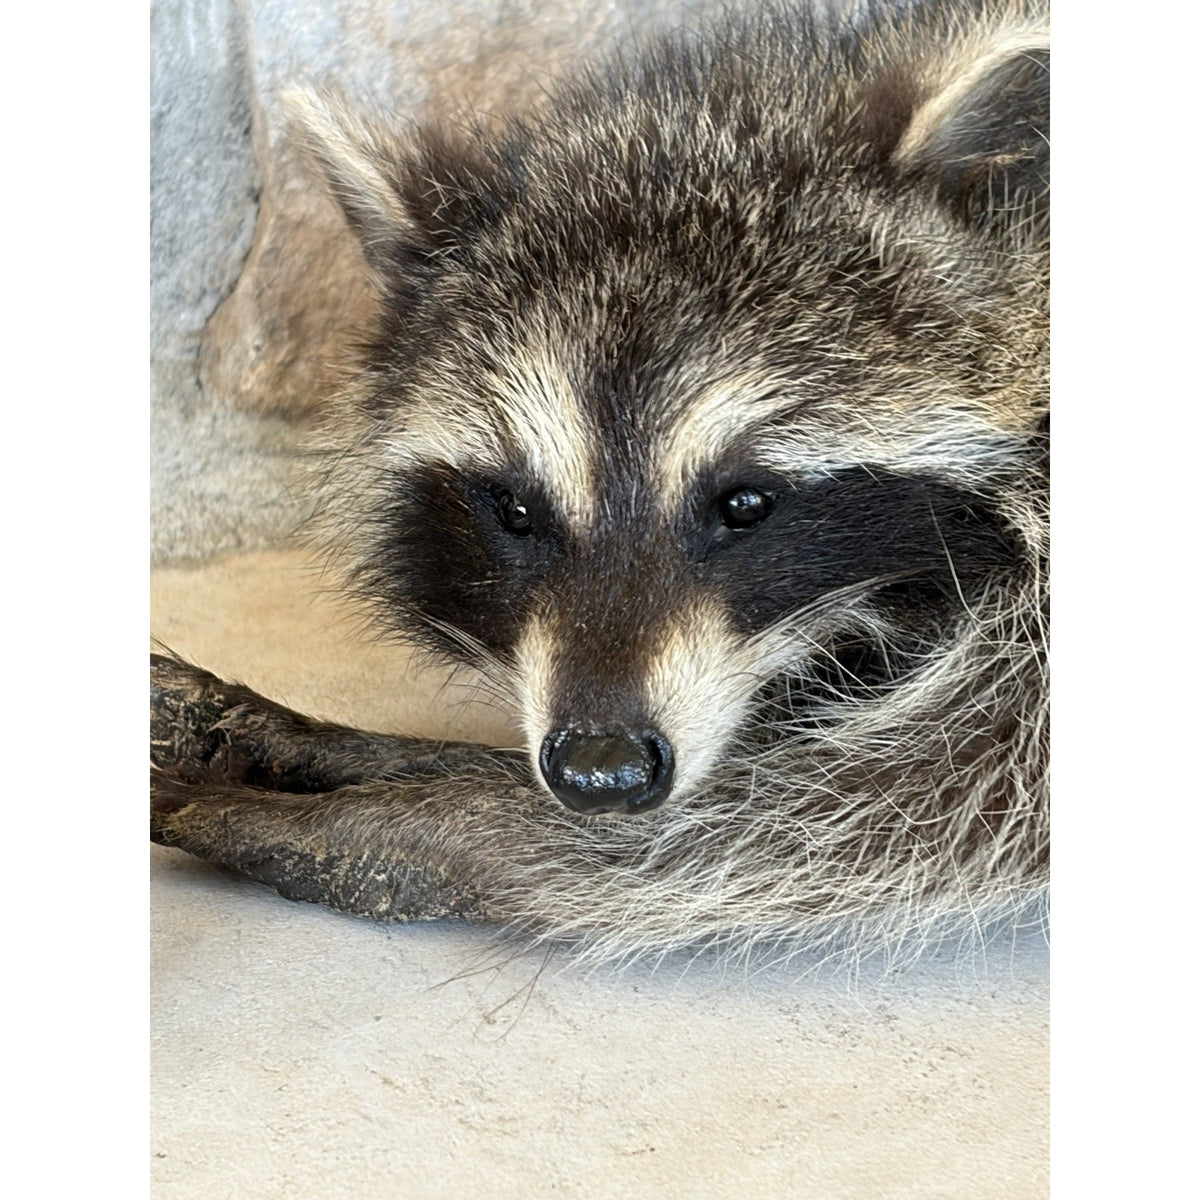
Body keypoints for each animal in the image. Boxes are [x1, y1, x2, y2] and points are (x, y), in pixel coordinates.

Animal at [151, 0, 1050, 964]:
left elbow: (895, 801)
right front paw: (391, 756)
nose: (598, 772)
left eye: (747, 503)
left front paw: (436, 823)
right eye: (513, 509)